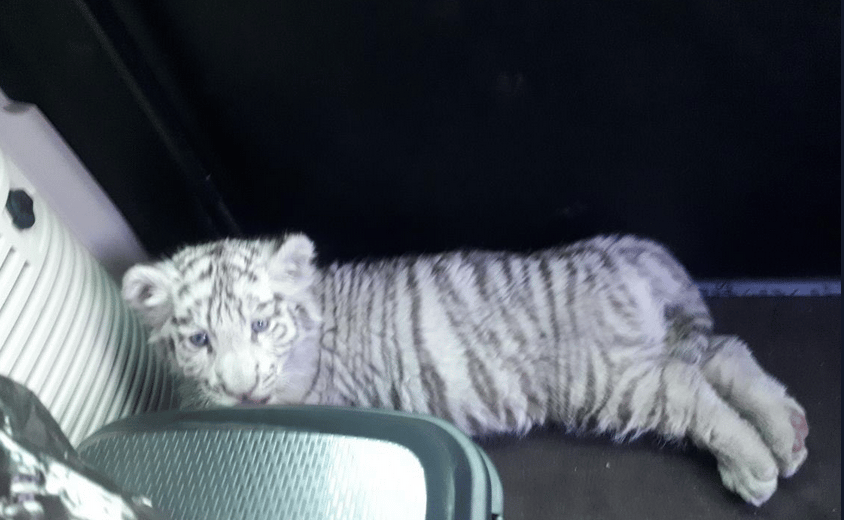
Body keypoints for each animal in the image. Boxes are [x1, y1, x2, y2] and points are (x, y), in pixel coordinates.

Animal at [122, 233, 808, 506]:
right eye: (200, 340)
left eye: (262, 327)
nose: (238, 389)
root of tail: (618, 251)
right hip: (646, 348)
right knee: (723, 354)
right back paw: (788, 434)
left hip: (607, 379)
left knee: (689, 389)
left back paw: (755, 465)